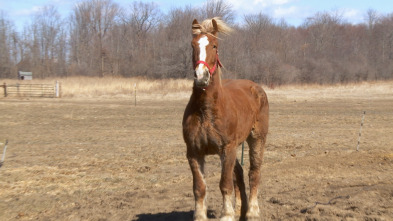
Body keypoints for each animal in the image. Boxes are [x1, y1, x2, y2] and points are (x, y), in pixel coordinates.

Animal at [181, 17, 268, 221]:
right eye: (192, 45)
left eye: (214, 45)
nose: (201, 77)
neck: (206, 111)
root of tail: (256, 87)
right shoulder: (194, 152)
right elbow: (200, 187)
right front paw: (200, 215)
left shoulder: (227, 149)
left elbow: (225, 184)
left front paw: (227, 215)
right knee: (239, 174)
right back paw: (241, 210)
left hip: (256, 139)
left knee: (254, 172)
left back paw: (252, 211)